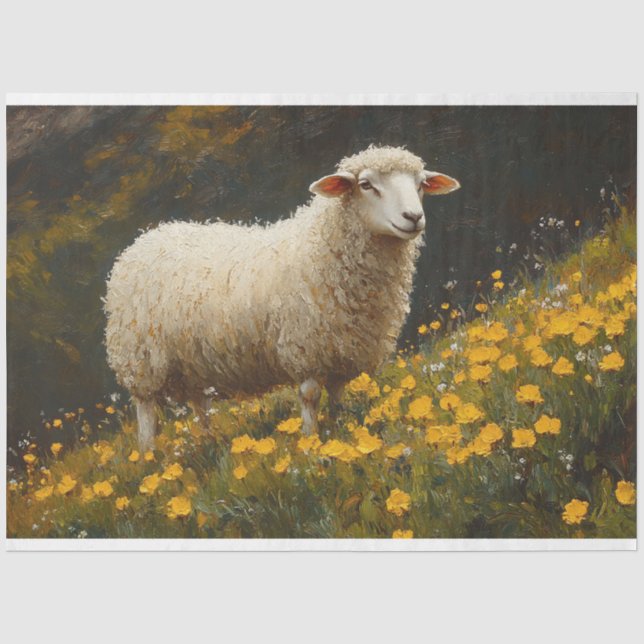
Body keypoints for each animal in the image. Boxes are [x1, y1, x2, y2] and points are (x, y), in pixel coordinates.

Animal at [104, 145, 460, 448]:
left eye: (421, 184)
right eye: (365, 185)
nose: (413, 217)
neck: (322, 245)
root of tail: (146, 238)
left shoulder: (343, 348)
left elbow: (338, 394)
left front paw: (341, 427)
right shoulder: (306, 346)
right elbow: (310, 396)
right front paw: (310, 439)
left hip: (193, 361)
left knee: (200, 404)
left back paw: (208, 440)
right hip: (140, 358)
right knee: (146, 411)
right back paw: (149, 456)